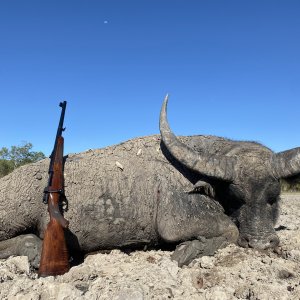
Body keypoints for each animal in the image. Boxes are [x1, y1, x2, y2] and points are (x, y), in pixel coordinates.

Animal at [0, 96, 300, 268]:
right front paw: (187, 251)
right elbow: (230, 231)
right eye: (237, 197)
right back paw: (34, 251)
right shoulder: (178, 222)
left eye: (273, 197)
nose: (261, 243)